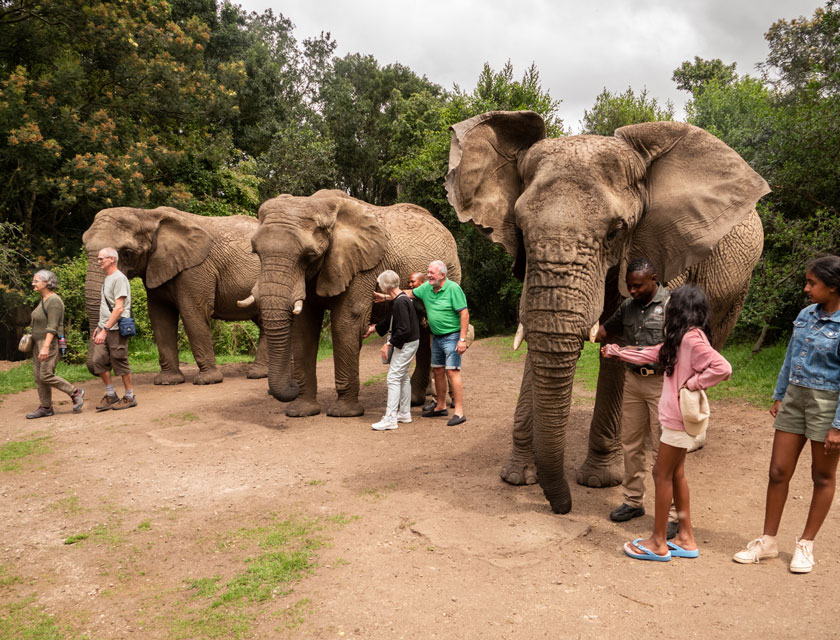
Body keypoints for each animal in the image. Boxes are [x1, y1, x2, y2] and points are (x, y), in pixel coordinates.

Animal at [82, 207, 268, 385]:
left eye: (127, 253)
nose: (105, 366)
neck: (147, 215)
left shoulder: (195, 269)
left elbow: (193, 313)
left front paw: (207, 381)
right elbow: (160, 317)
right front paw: (167, 381)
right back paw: (260, 373)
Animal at [247, 189, 461, 418]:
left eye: (310, 255)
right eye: (256, 253)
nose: (288, 386)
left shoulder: (362, 268)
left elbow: (346, 324)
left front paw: (343, 413)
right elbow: (304, 329)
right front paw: (301, 411)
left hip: (452, 271)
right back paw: (415, 400)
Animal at [445, 111, 769, 514]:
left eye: (616, 232)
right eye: (519, 228)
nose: (562, 507)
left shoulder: (660, 244)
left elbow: (619, 338)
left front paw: (600, 480)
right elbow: (537, 331)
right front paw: (518, 476)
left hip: (736, 280)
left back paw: (685, 441)